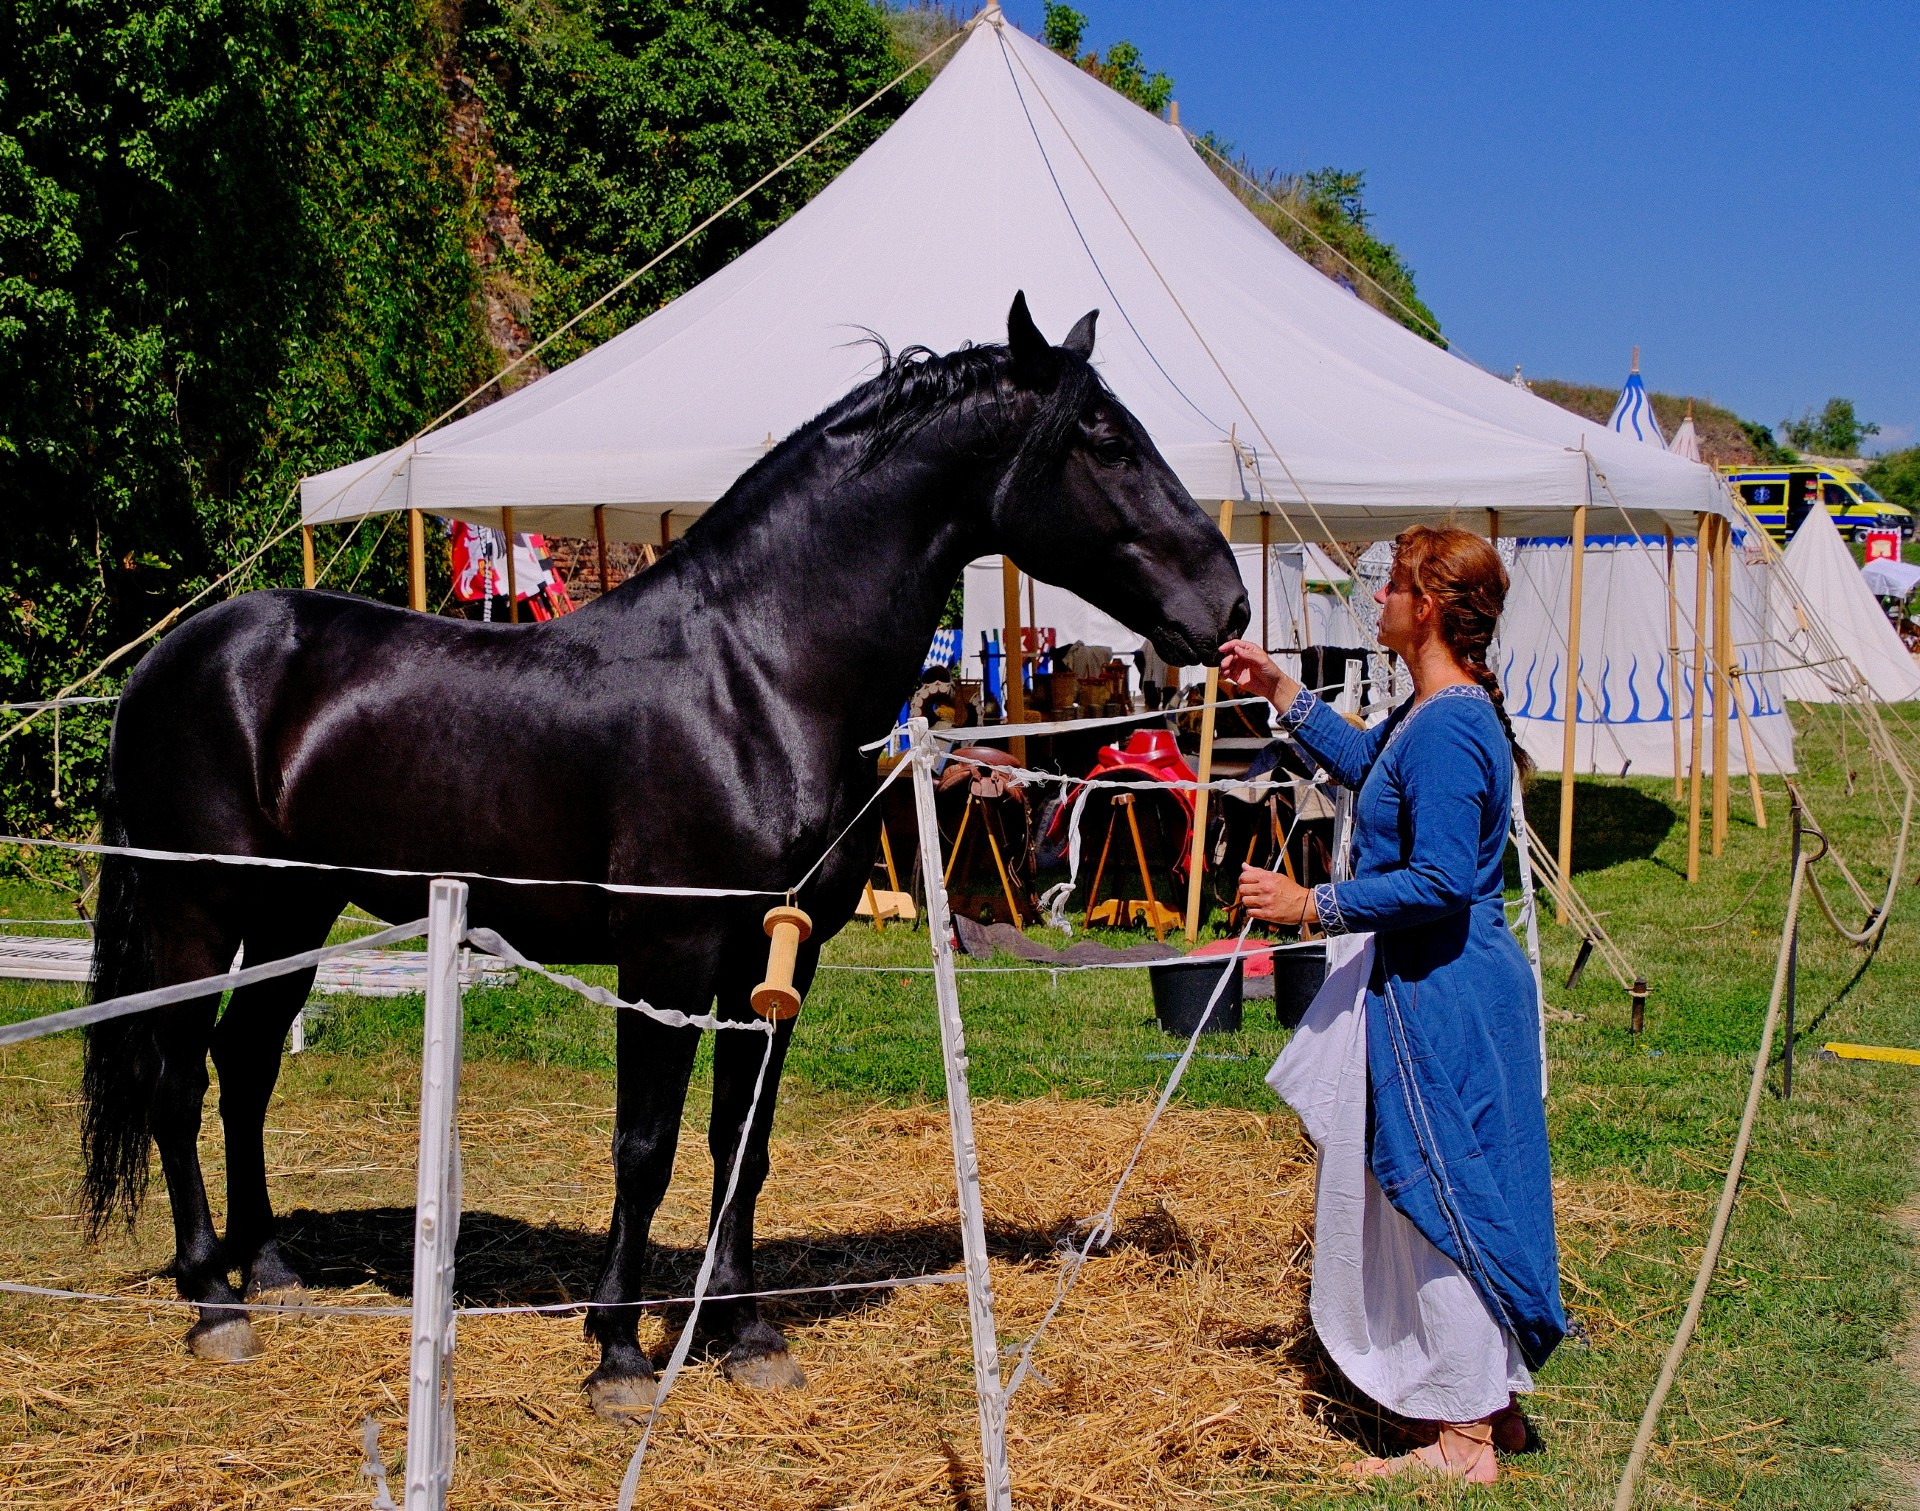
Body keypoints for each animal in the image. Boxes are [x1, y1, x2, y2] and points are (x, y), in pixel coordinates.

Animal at [82, 291, 1251, 1420]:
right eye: (1106, 439)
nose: (1228, 604)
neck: (755, 679)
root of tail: (166, 662)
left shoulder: (778, 961)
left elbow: (744, 1143)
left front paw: (746, 1335)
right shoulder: (668, 956)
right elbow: (644, 1147)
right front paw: (617, 1353)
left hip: (295, 911)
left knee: (245, 1064)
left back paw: (273, 1269)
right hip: (199, 907)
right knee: (176, 1074)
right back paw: (213, 1297)